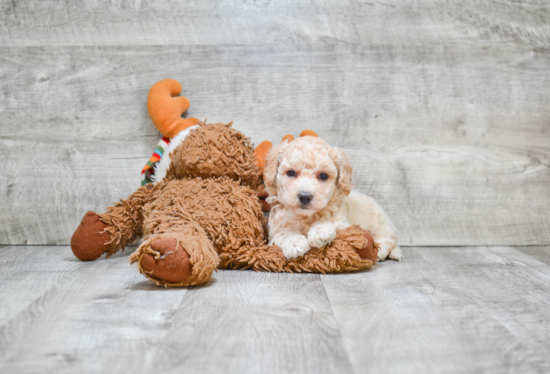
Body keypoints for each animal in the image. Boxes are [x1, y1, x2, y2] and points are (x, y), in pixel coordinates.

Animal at [266, 136, 404, 262]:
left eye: (323, 176)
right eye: (291, 173)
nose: (305, 196)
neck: (307, 216)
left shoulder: (343, 221)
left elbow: (331, 222)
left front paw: (320, 231)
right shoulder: (276, 229)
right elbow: (283, 234)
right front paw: (294, 243)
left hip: (379, 223)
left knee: (388, 240)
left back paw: (379, 252)